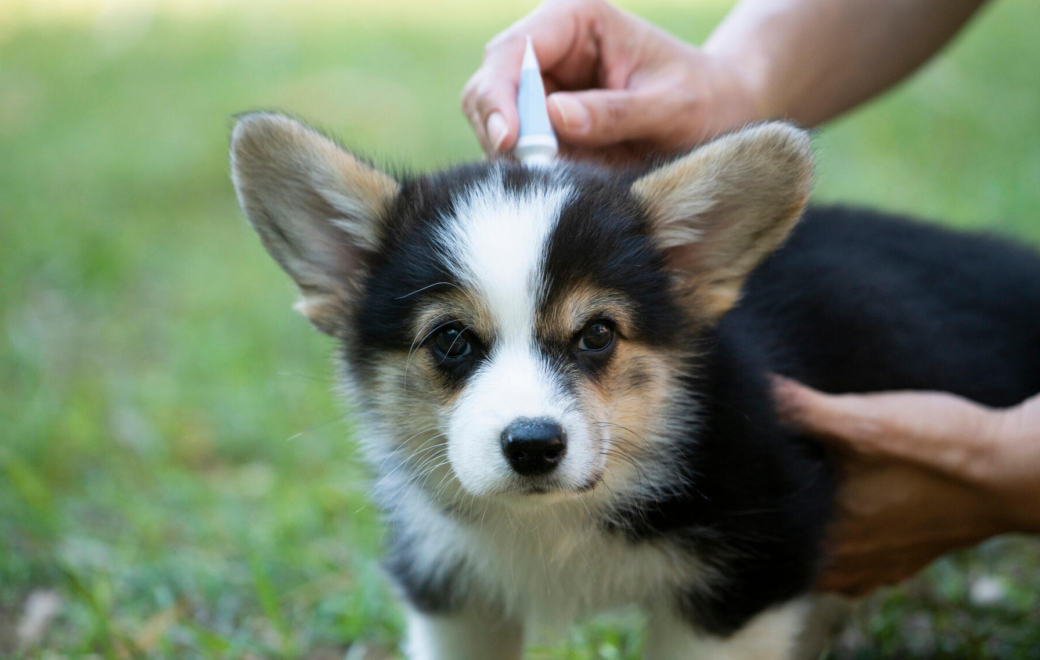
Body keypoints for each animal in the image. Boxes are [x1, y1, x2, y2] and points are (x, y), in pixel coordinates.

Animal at [227, 114, 1040, 660]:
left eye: (597, 335)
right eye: (450, 341)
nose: (533, 447)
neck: (559, 523)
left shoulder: (741, 592)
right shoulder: (453, 600)